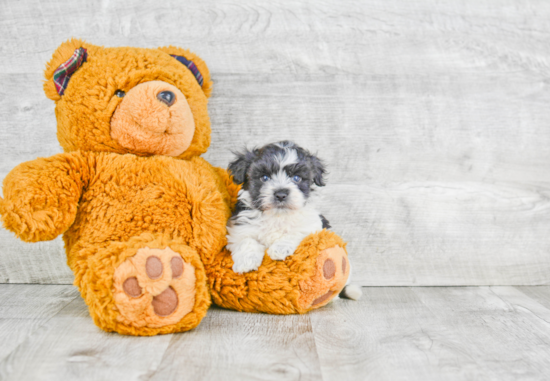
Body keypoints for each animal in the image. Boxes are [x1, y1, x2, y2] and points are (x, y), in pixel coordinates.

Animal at [225, 141, 362, 302]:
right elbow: (245, 240)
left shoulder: (312, 225)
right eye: (264, 177)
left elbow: (296, 232)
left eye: (296, 178)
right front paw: (246, 261)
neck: (277, 215)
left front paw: (280, 248)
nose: (281, 194)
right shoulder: (239, 227)